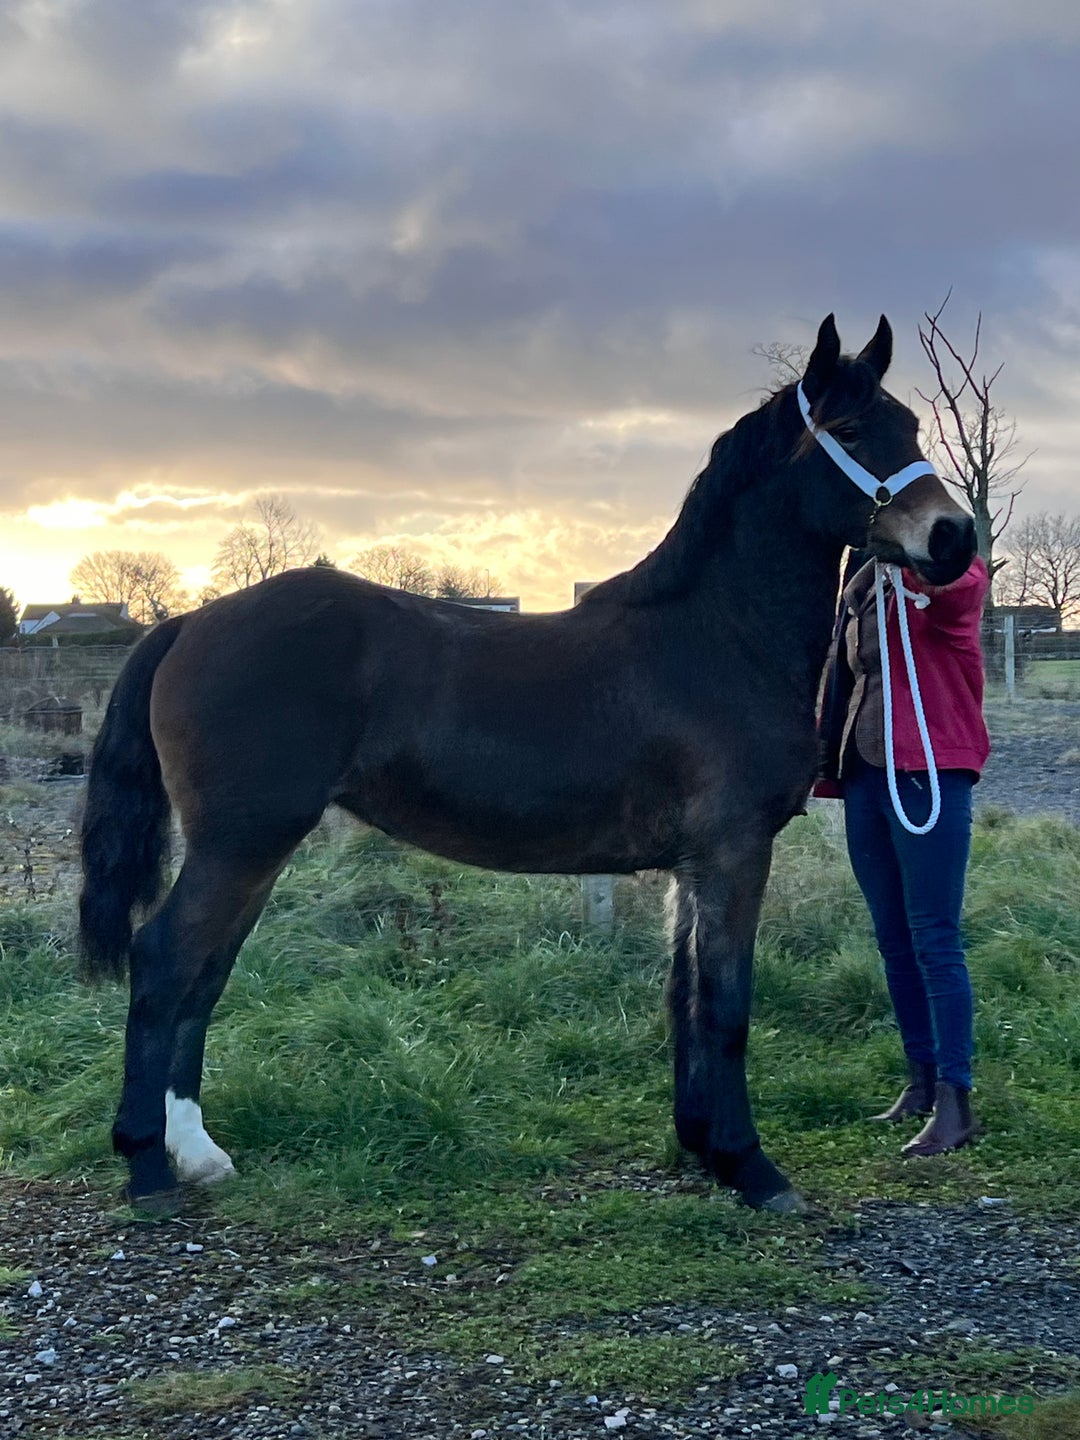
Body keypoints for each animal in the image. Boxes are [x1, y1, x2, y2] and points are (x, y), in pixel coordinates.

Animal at [79, 315, 976, 1214]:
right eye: (852, 431)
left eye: (913, 426)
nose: (955, 537)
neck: (716, 637)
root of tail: (189, 624)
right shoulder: (734, 853)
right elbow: (726, 1007)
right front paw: (751, 1166)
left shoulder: (695, 867)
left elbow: (685, 997)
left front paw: (701, 1146)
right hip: (242, 843)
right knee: (164, 962)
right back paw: (147, 1166)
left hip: (251, 850)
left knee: (204, 973)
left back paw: (196, 1153)